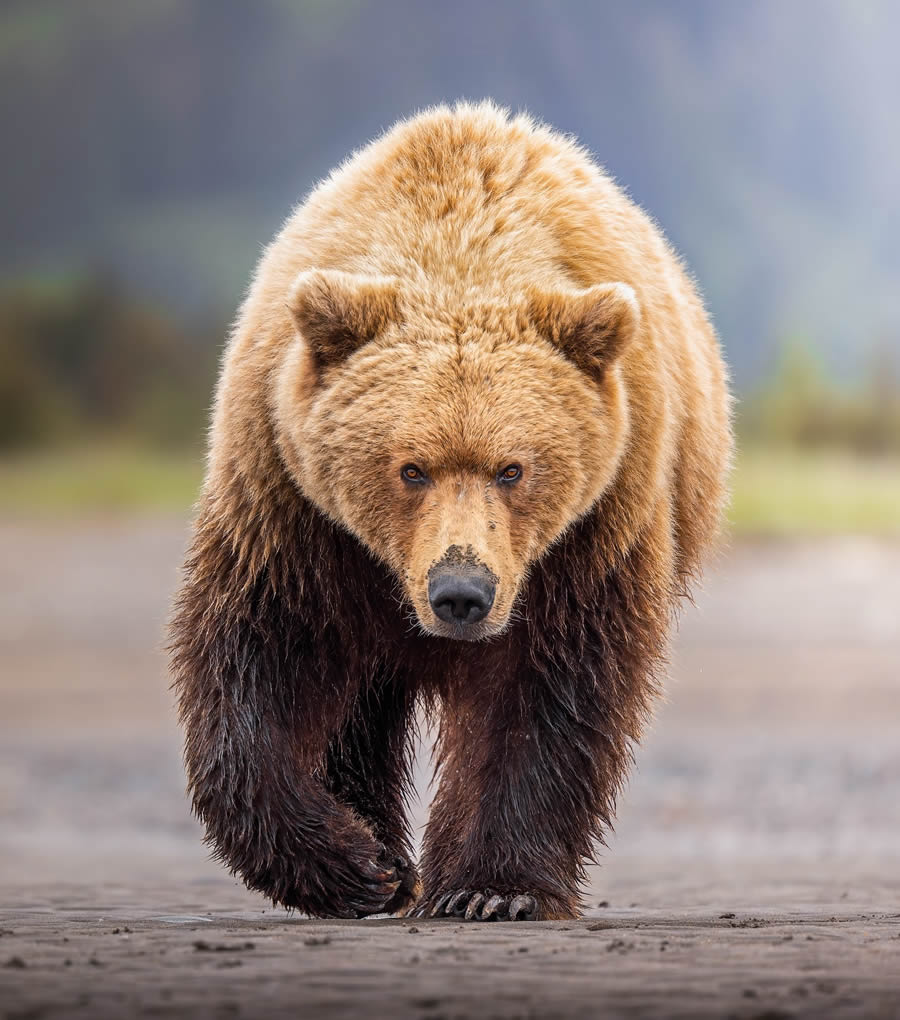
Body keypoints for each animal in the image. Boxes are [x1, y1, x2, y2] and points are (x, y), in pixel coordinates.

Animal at [168, 99, 730, 922]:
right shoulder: (292, 508)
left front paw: (493, 888)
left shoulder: (590, 530)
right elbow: (257, 659)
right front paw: (354, 864)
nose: (461, 593)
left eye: (512, 469)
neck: (459, 249)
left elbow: (549, 693)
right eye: (410, 469)